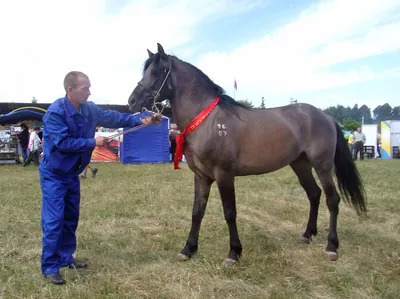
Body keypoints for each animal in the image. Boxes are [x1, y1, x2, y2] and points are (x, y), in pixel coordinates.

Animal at [126, 42, 368, 268]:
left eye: (157, 71)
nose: (132, 102)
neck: (209, 121)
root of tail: (326, 116)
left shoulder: (224, 175)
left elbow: (229, 212)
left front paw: (234, 252)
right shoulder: (201, 177)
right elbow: (197, 212)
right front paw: (188, 249)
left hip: (322, 165)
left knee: (332, 199)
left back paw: (331, 247)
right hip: (300, 165)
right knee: (314, 194)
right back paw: (307, 234)